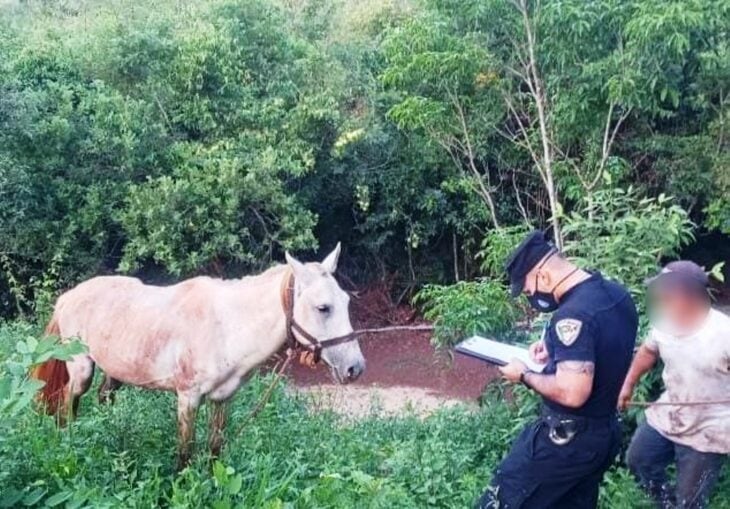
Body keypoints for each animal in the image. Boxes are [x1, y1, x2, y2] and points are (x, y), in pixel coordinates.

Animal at [33, 244, 364, 466]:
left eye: (346, 301)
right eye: (323, 307)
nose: (355, 368)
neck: (226, 325)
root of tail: (67, 297)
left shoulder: (222, 398)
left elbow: (215, 447)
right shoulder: (188, 397)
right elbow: (185, 452)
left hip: (116, 372)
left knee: (104, 397)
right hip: (81, 370)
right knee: (67, 402)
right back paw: (69, 444)